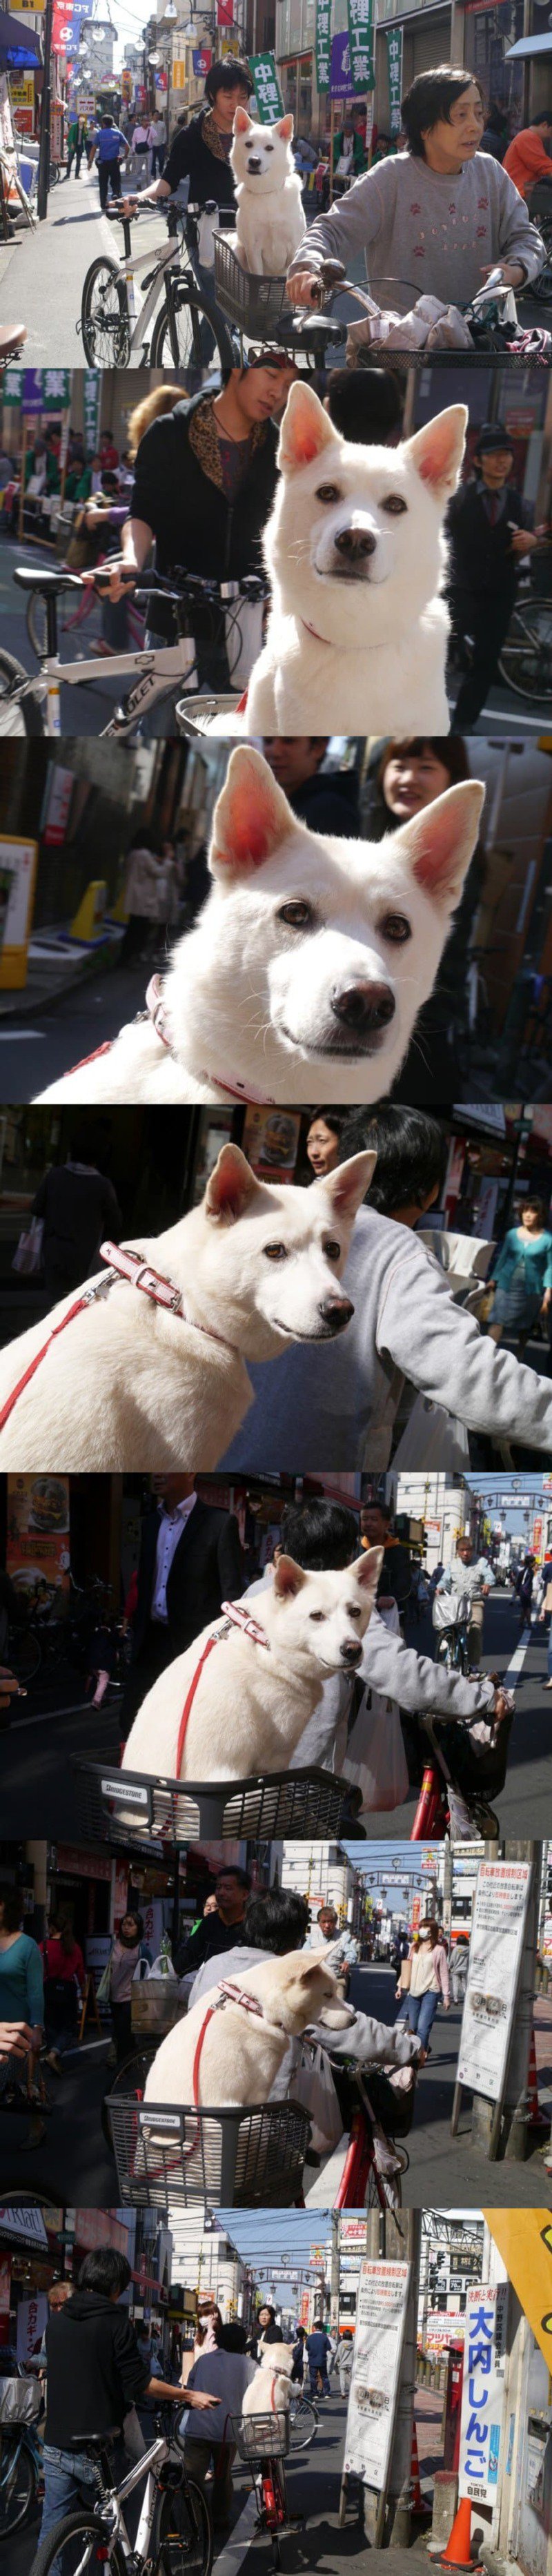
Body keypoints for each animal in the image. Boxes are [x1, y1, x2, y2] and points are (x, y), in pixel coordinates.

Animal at [229, 106, 305, 278]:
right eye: (248, 144)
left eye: (269, 148)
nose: (254, 161)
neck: (266, 192)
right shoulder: (253, 249)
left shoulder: (293, 247)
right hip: (238, 250)